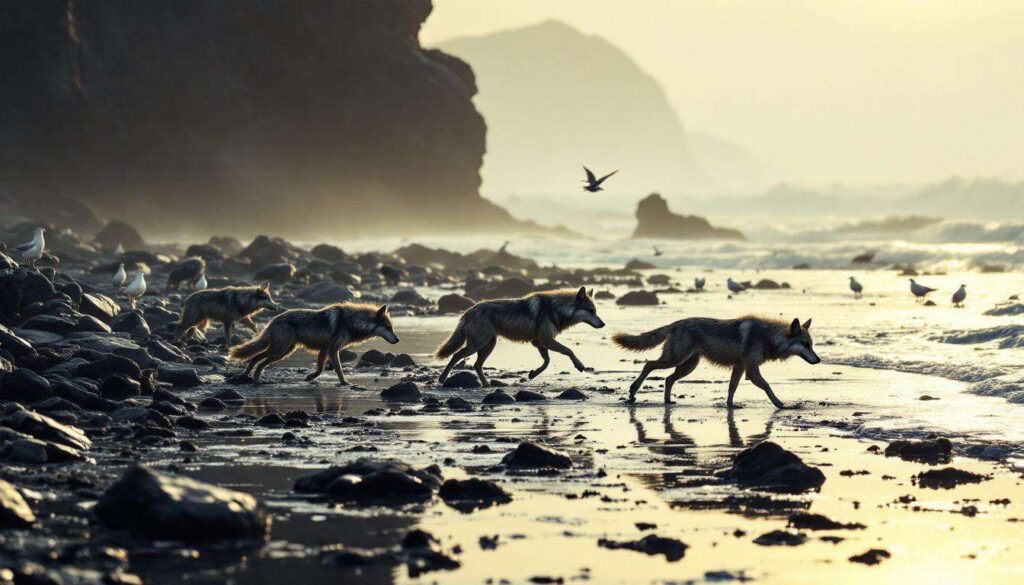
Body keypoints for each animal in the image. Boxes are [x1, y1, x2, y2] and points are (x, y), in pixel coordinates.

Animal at [228, 303, 398, 384]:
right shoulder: (333, 349)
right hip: (280, 351)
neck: (354, 322)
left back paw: (251, 377)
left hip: (283, 351)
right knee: (257, 358)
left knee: (258, 359)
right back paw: (253, 377)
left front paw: (310, 377)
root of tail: (273, 320)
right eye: (388, 327)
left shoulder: (325, 349)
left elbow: (321, 368)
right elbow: (338, 369)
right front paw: (345, 383)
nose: (397, 340)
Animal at [435, 286, 605, 387]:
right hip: (477, 345)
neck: (557, 308)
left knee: (477, 365)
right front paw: (579, 365)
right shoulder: (547, 340)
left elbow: (547, 362)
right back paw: (442, 379)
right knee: (456, 356)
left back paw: (486, 385)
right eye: (591, 311)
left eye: (596, 311)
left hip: (488, 345)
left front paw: (532, 374)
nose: (603, 324)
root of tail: (467, 312)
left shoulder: (538, 342)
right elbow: (569, 351)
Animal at [612, 316, 820, 408]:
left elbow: (731, 389)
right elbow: (768, 388)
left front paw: (730, 405)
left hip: (687, 366)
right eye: (805, 344)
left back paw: (667, 401)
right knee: (648, 365)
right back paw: (633, 391)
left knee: (668, 379)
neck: (768, 337)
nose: (818, 360)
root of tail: (676, 323)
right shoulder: (752, 372)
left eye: (811, 345)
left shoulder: (739, 368)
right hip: (674, 361)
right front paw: (781, 404)